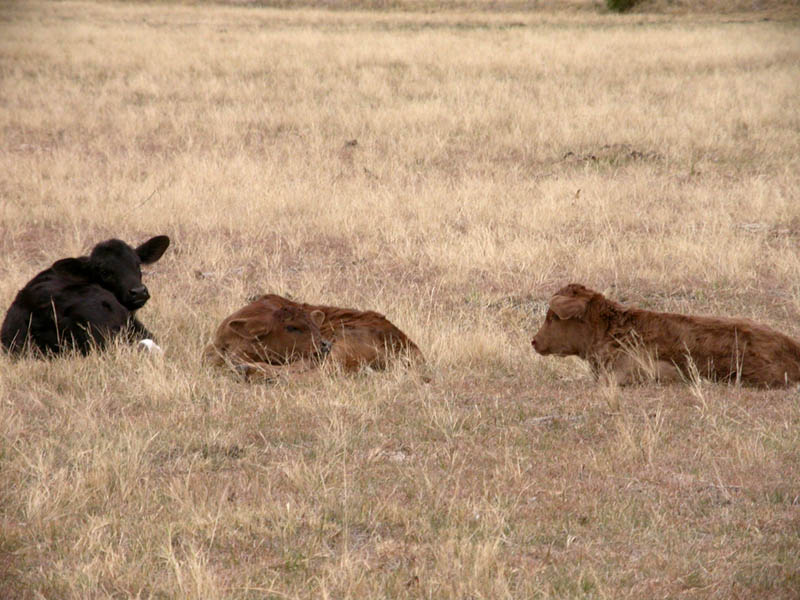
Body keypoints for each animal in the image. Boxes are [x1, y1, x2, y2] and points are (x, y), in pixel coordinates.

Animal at [203, 294, 426, 381]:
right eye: (291, 327)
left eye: (313, 324)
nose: (324, 344)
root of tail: (411, 346)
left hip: (343, 340)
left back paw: (249, 371)